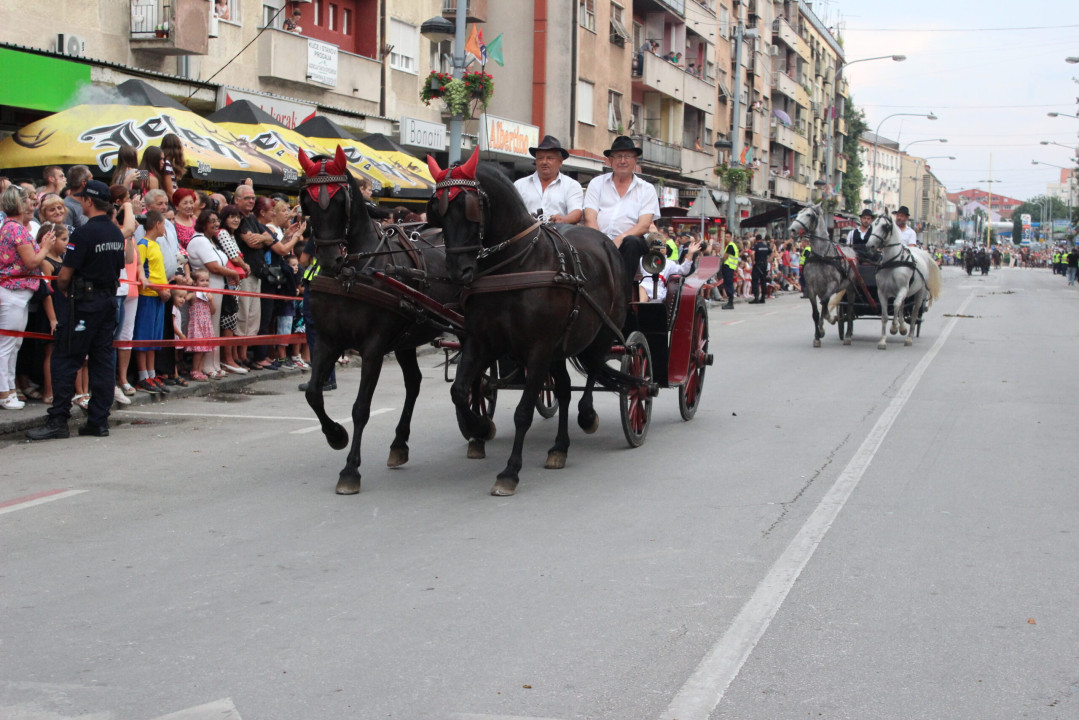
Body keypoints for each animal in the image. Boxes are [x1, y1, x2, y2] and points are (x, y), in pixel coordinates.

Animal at [297, 147, 461, 496]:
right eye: (306, 199)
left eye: (340, 198)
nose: (329, 258)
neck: (354, 270)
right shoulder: (328, 340)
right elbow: (313, 394)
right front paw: (336, 435)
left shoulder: (372, 348)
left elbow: (360, 408)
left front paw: (350, 470)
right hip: (408, 337)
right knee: (414, 383)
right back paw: (399, 444)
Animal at [425, 146, 643, 496]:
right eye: (438, 210)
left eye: (469, 207)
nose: (458, 272)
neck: (513, 266)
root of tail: (606, 243)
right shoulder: (481, 341)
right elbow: (460, 391)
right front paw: (480, 427)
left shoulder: (538, 349)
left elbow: (523, 412)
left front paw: (509, 472)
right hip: (560, 346)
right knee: (565, 389)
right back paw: (559, 448)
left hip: (600, 332)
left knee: (595, 369)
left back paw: (588, 415)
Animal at [863, 213, 940, 349]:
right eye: (872, 225)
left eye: (885, 226)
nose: (869, 246)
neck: (893, 262)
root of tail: (923, 253)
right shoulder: (881, 292)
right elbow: (885, 315)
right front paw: (882, 340)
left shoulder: (903, 289)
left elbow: (896, 305)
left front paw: (894, 328)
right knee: (902, 307)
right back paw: (903, 327)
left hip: (919, 292)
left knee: (914, 312)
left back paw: (909, 337)